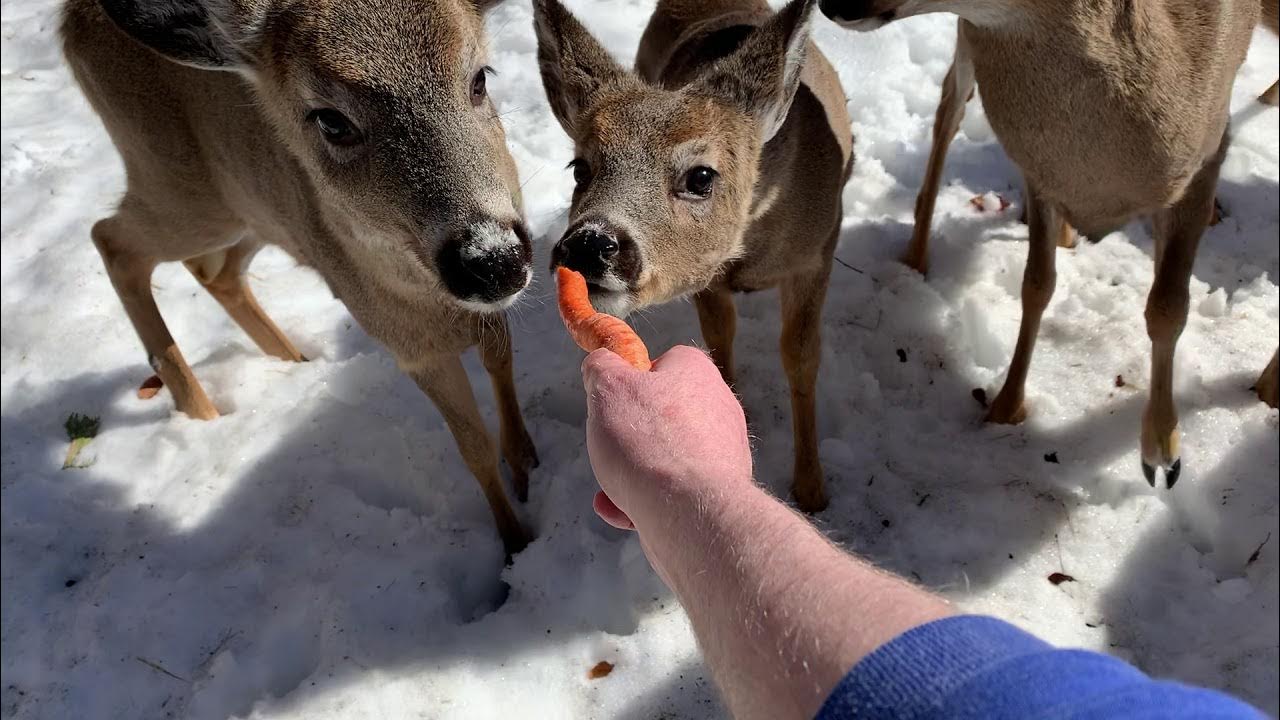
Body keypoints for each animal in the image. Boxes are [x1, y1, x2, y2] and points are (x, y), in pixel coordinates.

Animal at [60, 0, 539, 555]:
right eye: (330, 120)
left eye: (480, 78)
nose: (491, 259)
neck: (434, 305)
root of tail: (69, 20)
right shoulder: (412, 349)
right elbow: (473, 449)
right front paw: (515, 544)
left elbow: (501, 360)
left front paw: (525, 460)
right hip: (180, 186)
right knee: (112, 240)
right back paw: (201, 409)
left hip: (253, 207)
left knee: (212, 269)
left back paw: (295, 360)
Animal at [532, 0, 852, 512]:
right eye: (580, 168)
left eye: (701, 176)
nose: (588, 244)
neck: (749, 250)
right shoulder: (708, 278)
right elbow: (719, 341)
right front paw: (735, 413)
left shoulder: (817, 254)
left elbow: (801, 357)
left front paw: (811, 490)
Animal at [819, 0, 1280, 488]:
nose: (830, 6)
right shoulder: (1040, 171)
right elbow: (1037, 284)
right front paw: (1006, 406)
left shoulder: (1205, 159)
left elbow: (1168, 306)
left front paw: (1162, 454)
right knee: (949, 106)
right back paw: (917, 256)